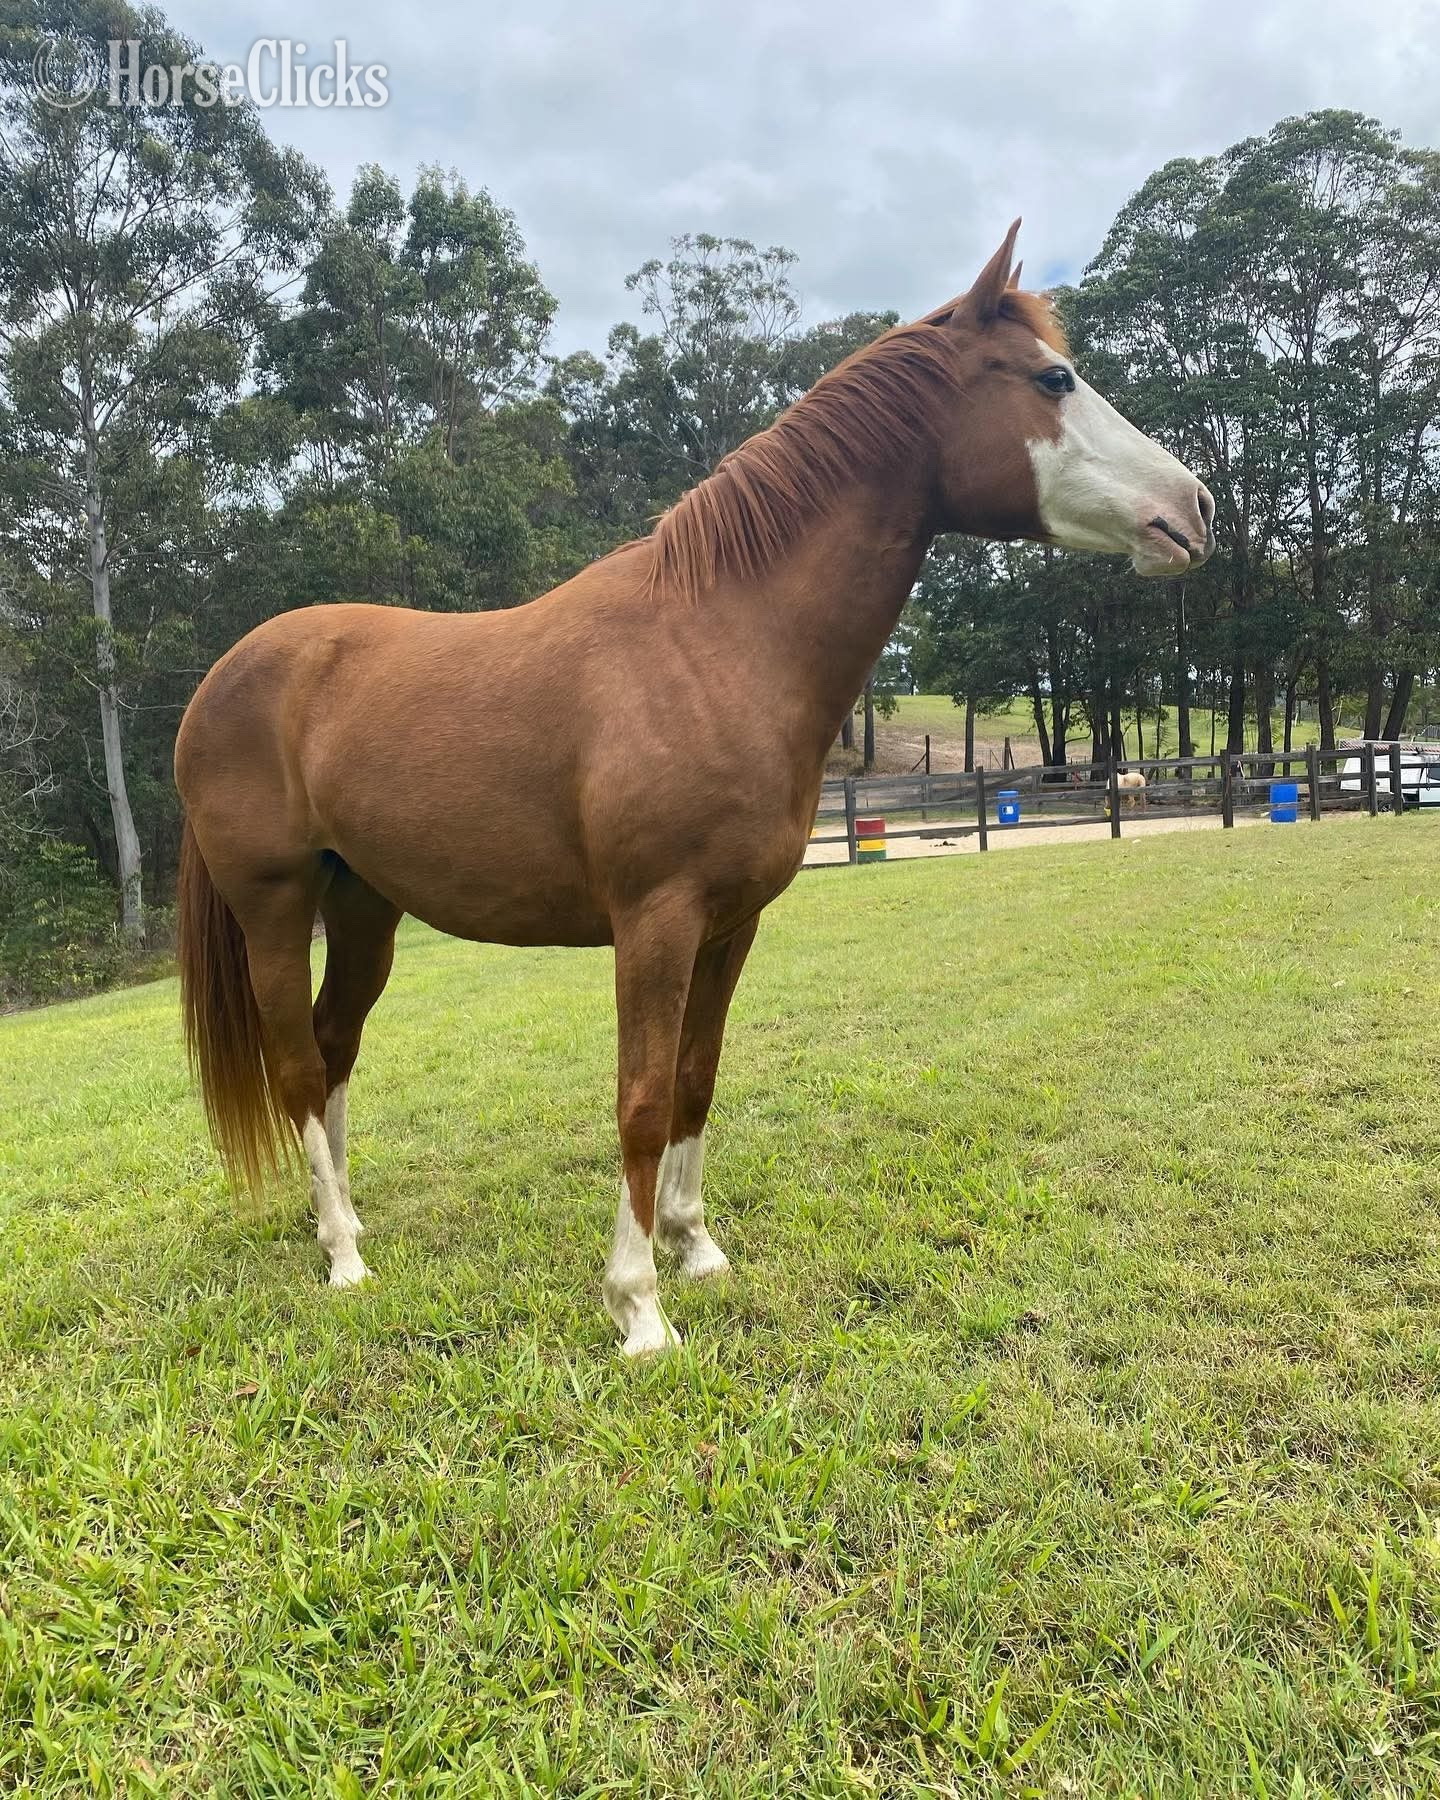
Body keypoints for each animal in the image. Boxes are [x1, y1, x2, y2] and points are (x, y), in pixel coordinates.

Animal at [175, 222, 1214, 1355]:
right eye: (1052, 378)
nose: (1195, 509)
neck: (716, 642)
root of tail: (220, 681)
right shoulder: (656, 921)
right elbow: (639, 1096)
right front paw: (637, 1306)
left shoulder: (730, 923)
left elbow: (694, 1081)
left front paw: (696, 1248)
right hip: (276, 908)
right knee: (296, 1067)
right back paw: (344, 1258)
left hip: (365, 908)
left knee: (335, 1048)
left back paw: (349, 1222)